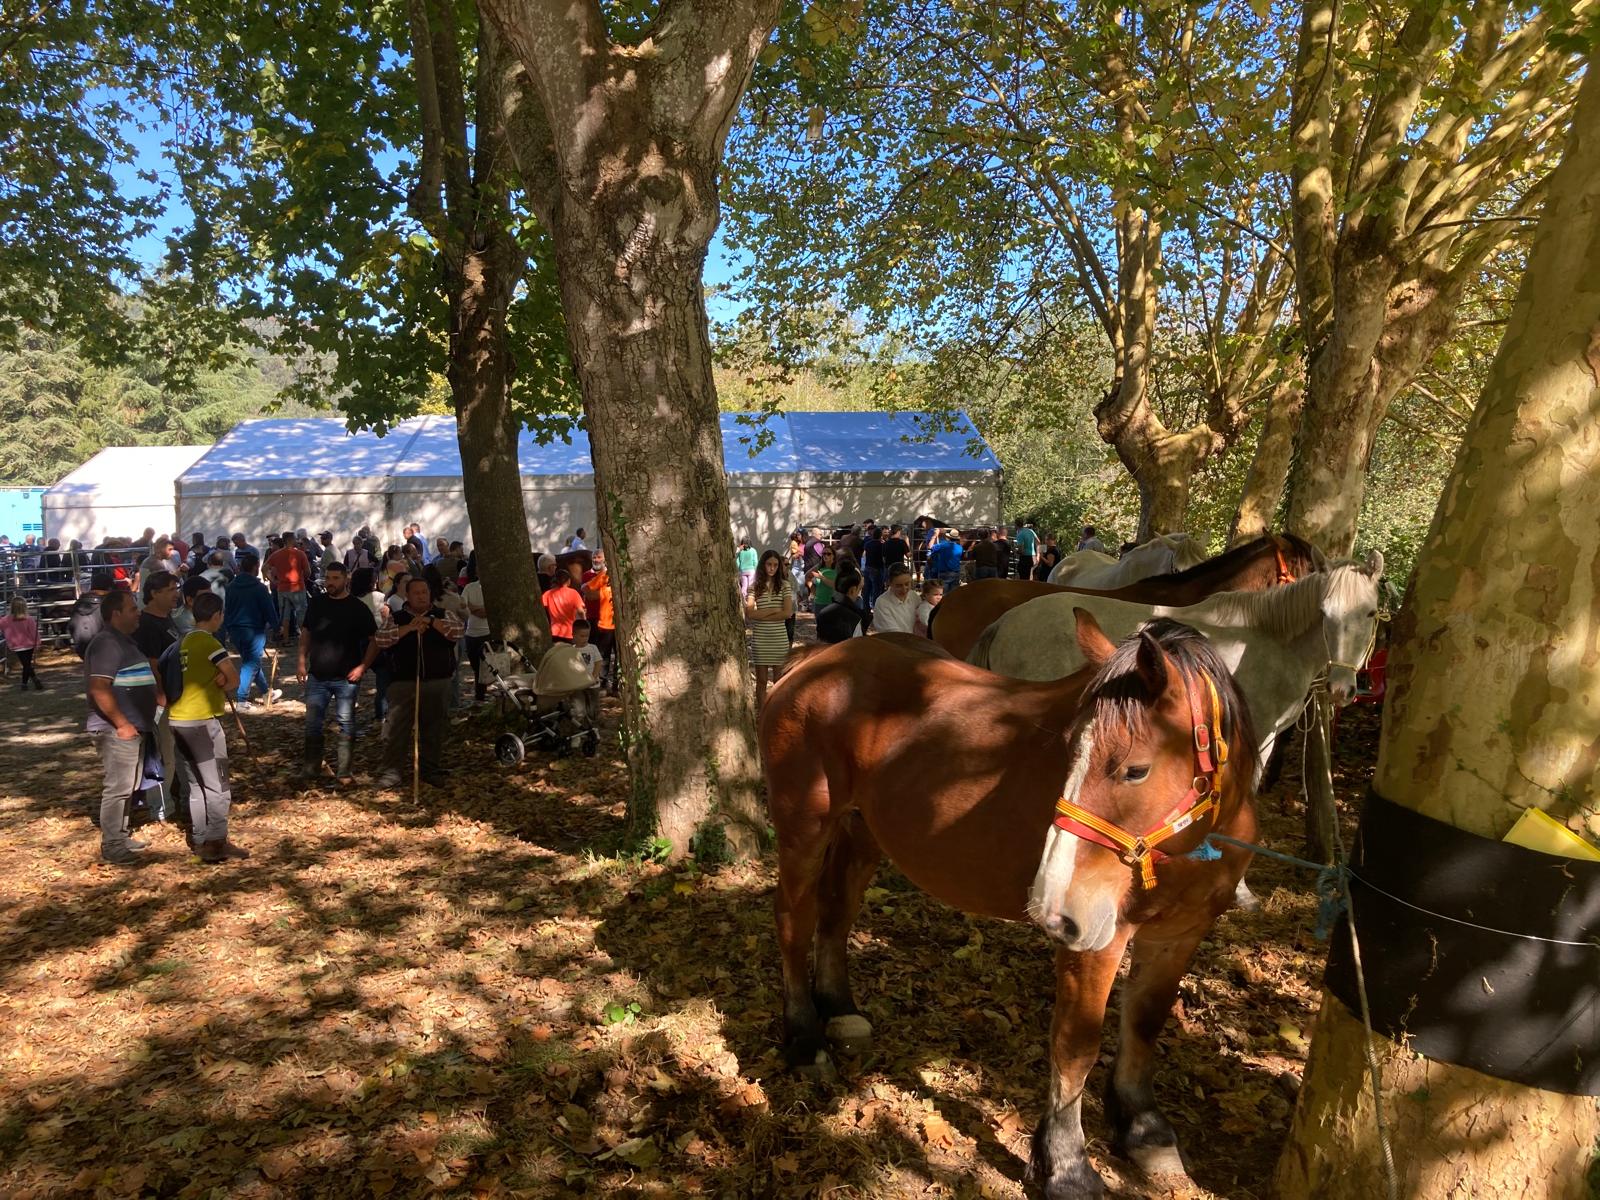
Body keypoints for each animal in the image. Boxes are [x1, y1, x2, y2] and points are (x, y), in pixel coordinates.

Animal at [761, 614, 1260, 1196]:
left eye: (1135, 770)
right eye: (1068, 752)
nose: (1051, 907)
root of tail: (817, 659)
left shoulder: (1179, 935)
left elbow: (1145, 1022)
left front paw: (1143, 1128)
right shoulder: (1097, 940)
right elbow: (1075, 1044)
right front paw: (1065, 1164)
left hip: (863, 831)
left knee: (837, 911)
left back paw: (839, 1009)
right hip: (804, 830)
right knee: (794, 919)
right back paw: (805, 1037)